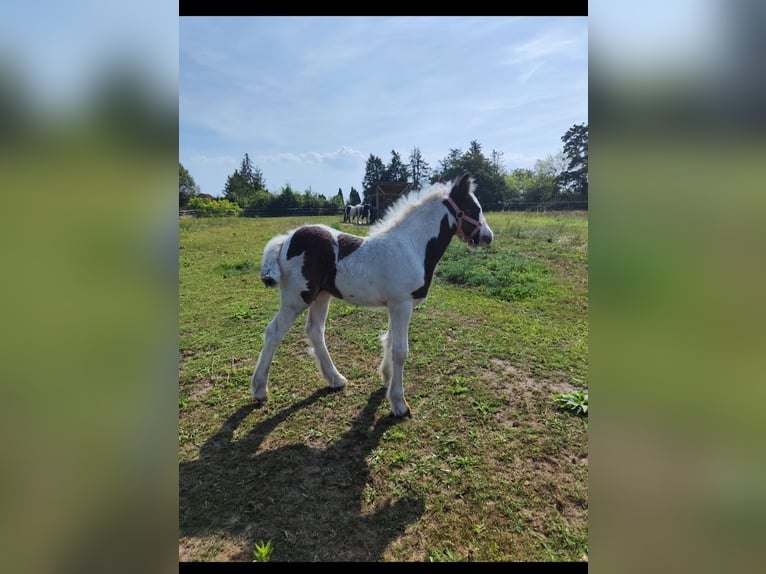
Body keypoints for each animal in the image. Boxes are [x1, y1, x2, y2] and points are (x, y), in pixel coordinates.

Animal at [249, 174, 496, 418]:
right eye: (473, 208)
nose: (488, 237)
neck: (412, 246)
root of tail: (287, 238)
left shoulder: (396, 305)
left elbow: (389, 340)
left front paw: (386, 378)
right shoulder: (402, 304)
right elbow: (400, 351)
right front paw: (399, 404)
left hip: (321, 296)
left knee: (315, 331)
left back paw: (335, 379)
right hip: (296, 298)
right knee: (274, 332)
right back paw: (260, 389)